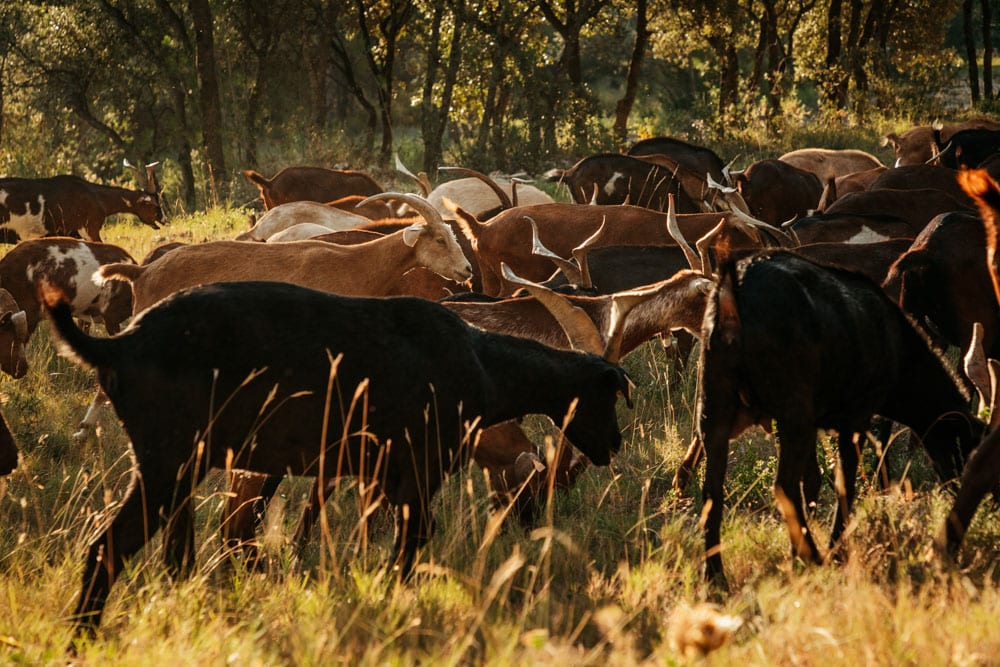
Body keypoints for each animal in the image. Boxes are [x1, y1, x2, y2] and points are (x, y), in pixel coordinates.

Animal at [45, 280, 632, 640]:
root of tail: (118, 345)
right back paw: (80, 640)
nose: (616, 445)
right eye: (608, 395)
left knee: (171, 557)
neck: (483, 365)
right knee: (105, 549)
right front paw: (399, 602)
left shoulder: (381, 475)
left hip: (181, 466)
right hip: (167, 462)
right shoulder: (418, 471)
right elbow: (414, 541)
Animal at [696, 249, 984, 584]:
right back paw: (813, 556)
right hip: (793, 411)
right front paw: (835, 550)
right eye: (963, 447)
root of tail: (733, 294)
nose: (957, 487)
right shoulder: (855, 417)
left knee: (712, 494)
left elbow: (813, 480)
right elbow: (844, 484)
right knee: (783, 487)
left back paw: (716, 577)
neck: (900, 351)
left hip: (714, 411)